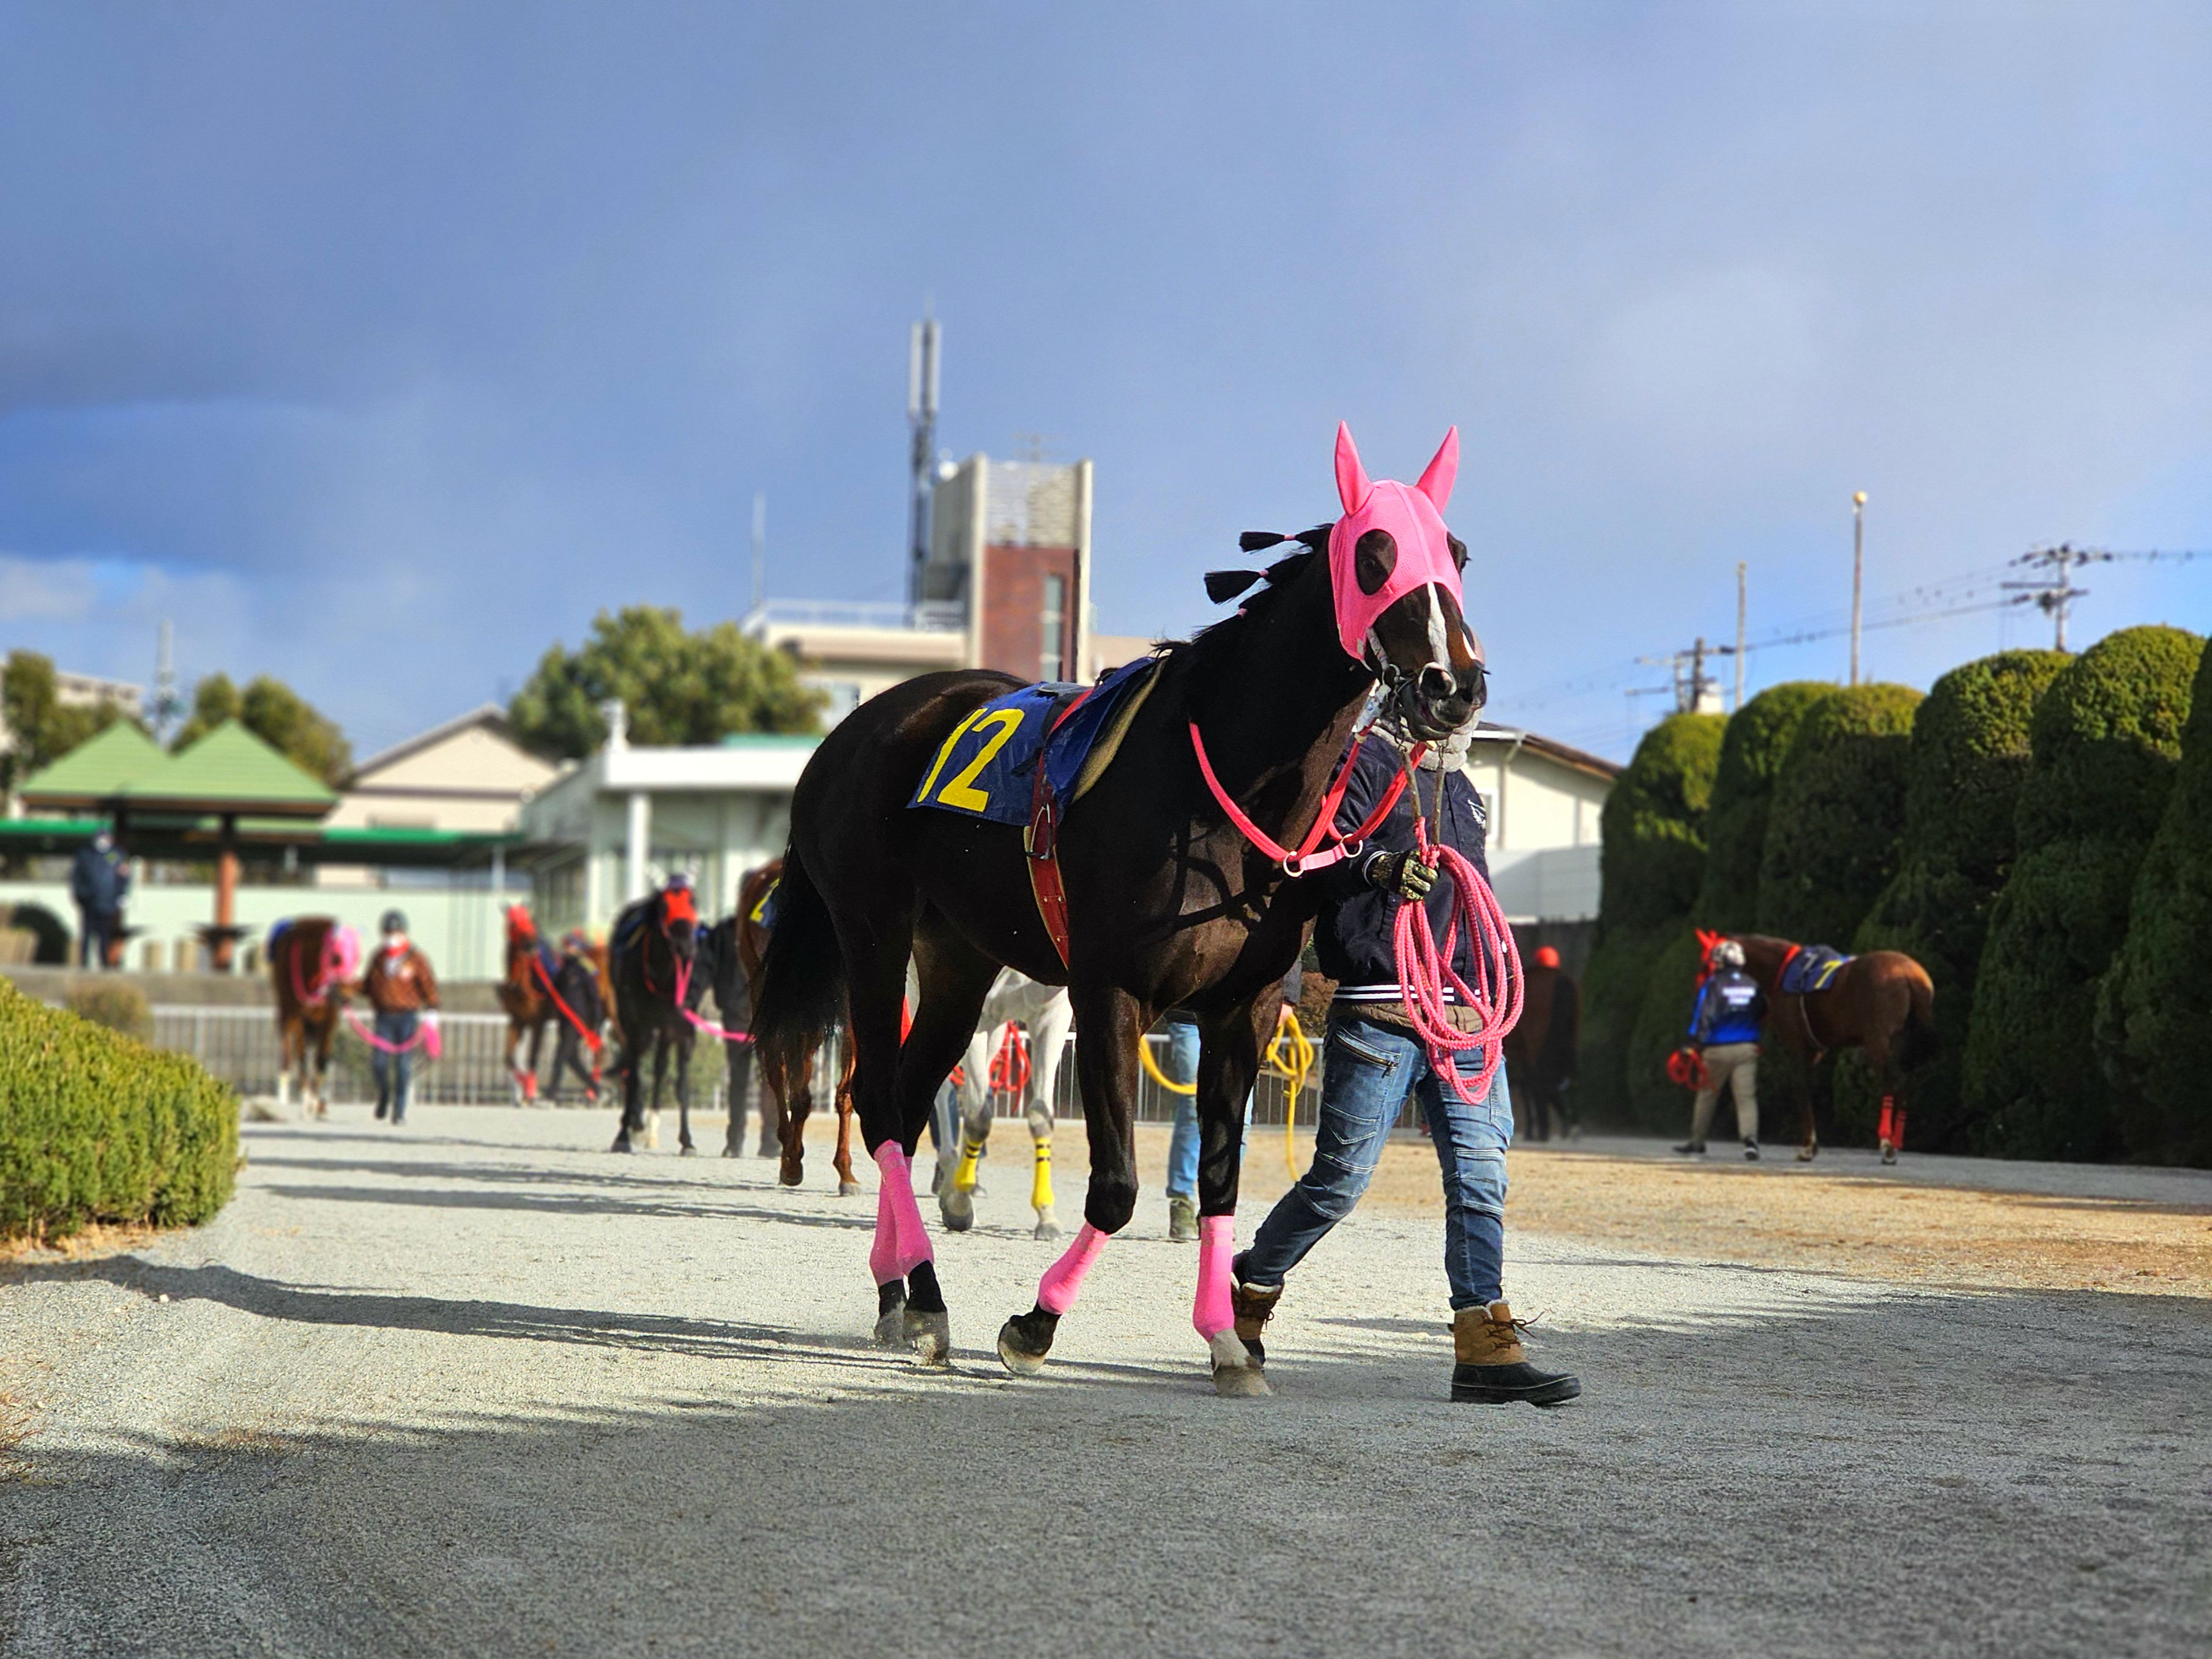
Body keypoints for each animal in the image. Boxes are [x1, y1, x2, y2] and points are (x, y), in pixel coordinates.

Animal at [268, 916, 358, 1118]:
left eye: (356, 958)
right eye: (337, 958)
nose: (347, 997)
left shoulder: (329, 1018)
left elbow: (322, 1060)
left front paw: (316, 1103)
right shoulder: (297, 1016)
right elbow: (301, 1055)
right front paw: (306, 1103)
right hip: (287, 1014)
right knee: (288, 1050)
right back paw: (284, 1096)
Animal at [606, 884, 702, 1154]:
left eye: (693, 903)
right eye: (664, 907)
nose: (685, 948)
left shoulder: (682, 1028)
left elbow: (681, 1083)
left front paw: (687, 1140)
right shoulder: (636, 1024)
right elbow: (635, 1075)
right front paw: (623, 1136)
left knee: (659, 1067)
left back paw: (649, 1129)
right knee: (634, 1064)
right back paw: (635, 1125)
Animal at [738, 858, 861, 1193]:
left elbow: (845, 1093)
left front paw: (846, 1173)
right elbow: (799, 1093)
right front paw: (792, 1162)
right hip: (762, 986)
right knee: (775, 1069)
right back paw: (785, 1146)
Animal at [1712, 931, 1939, 1164]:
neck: (1781, 972)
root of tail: (1908, 973)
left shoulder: (1798, 1047)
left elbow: (1802, 1091)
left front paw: (1809, 1147)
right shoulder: (1815, 1051)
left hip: (1878, 1042)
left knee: (1894, 1081)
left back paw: (1887, 1143)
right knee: (1905, 1084)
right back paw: (1895, 1142)